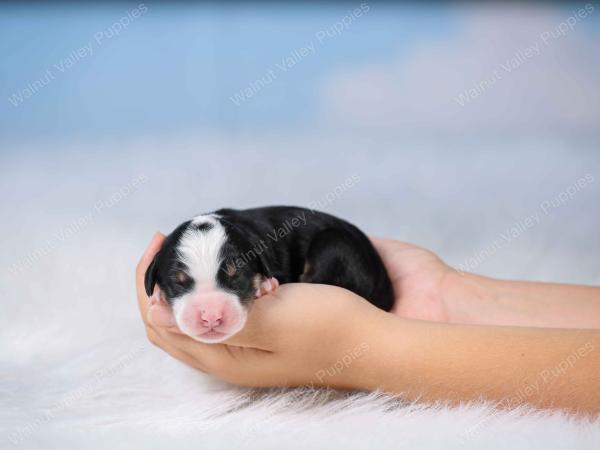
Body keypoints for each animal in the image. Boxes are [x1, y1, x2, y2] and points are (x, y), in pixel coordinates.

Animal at [145, 206, 394, 342]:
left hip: (334, 244)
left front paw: (264, 285)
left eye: (237, 276)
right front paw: (157, 295)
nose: (211, 317)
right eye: (178, 283)